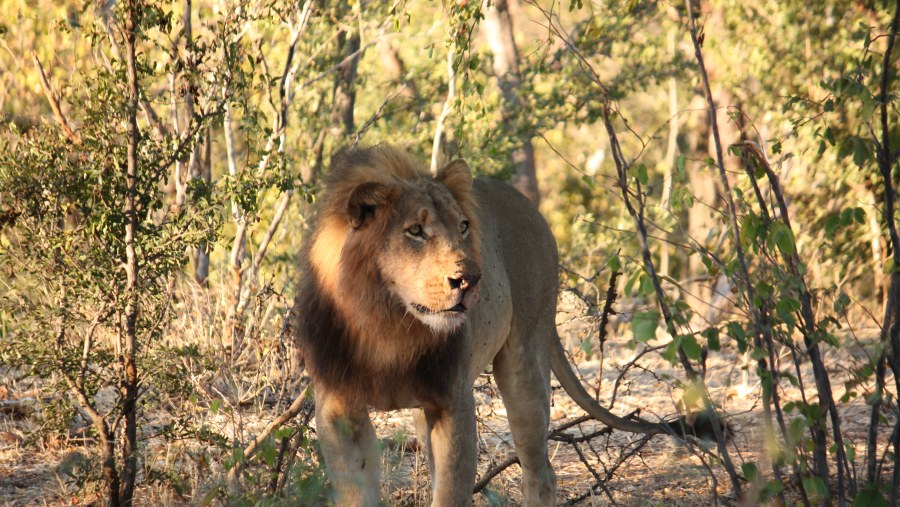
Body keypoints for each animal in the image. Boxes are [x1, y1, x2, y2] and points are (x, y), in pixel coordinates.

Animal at [292, 145, 664, 506]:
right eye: (415, 231)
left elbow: (450, 494)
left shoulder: (453, 401)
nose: (470, 280)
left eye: (463, 226)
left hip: (523, 364)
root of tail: (529, 205)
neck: (388, 324)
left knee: (541, 472)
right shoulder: (339, 409)